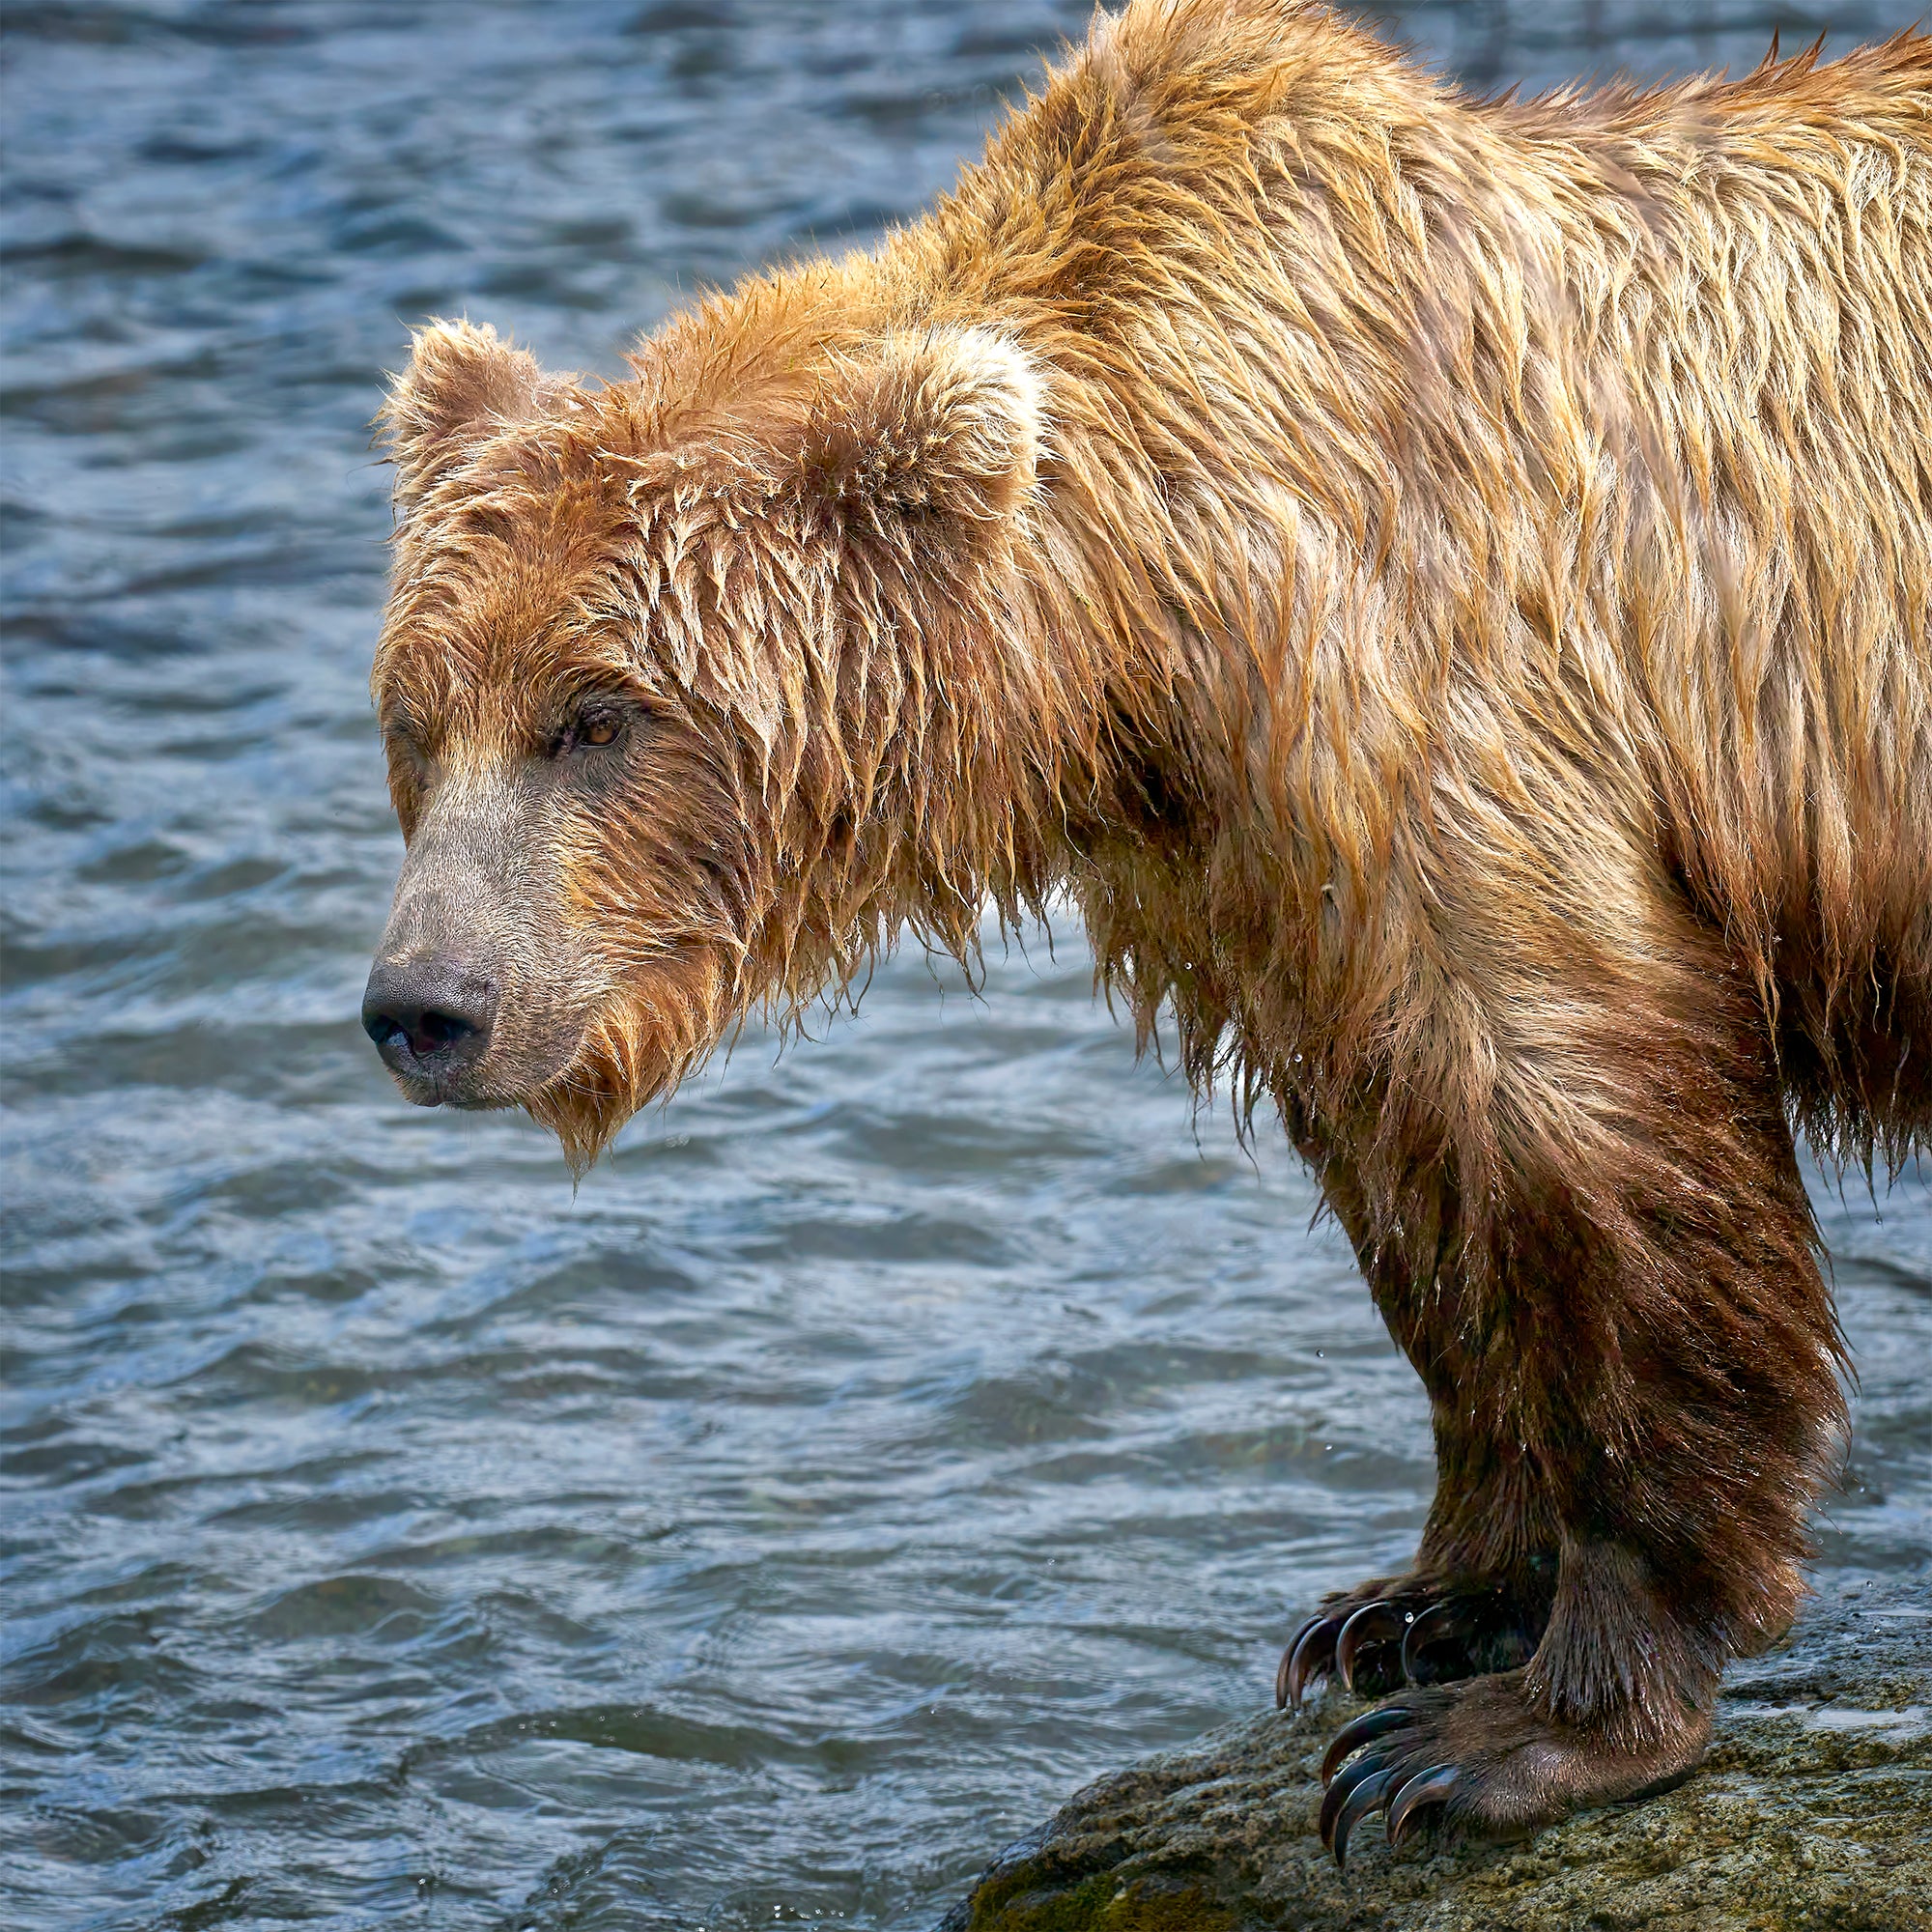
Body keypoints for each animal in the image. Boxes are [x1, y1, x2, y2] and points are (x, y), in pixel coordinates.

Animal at [361, 0, 1932, 1862]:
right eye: (417, 718)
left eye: (593, 719)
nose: (423, 1004)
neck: (1142, 622)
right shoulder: (1255, 875)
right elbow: (1423, 1179)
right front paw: (1412, 1604)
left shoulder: (1455, 705)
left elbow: (1582, 1137)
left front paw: (1503, 1734)